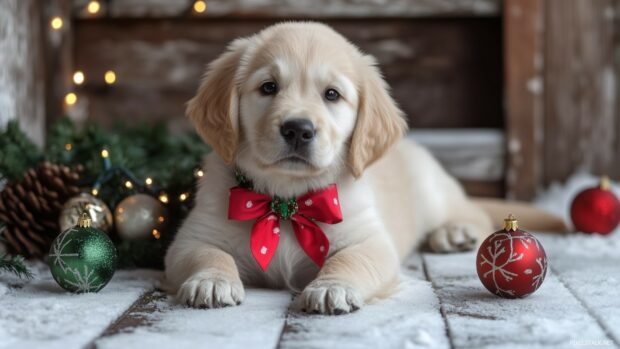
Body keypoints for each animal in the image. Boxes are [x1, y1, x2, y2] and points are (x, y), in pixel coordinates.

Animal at [163, 21, 494, 314]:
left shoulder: (370, 239)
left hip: (431, 190)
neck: (288, 202)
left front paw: (331, 287)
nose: (298, 129)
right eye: (268, 87)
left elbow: (350, 259)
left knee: (474, 211)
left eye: (332, 94)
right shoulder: (194, 235)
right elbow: (208, 254)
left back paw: (455, 232)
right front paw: (211, 281)